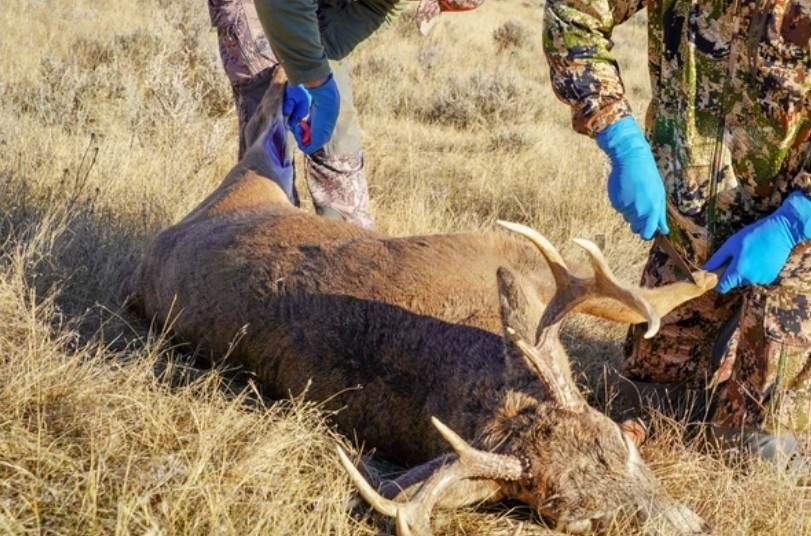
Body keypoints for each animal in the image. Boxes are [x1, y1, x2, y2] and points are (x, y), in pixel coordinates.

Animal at [120, 65, 720, 534]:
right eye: (577, 521)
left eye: (617, 444)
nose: (692, 526)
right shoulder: (504, 249)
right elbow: (650, 299)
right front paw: (712, 273)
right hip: (253, 179)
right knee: (264, 130)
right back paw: (283, 82)